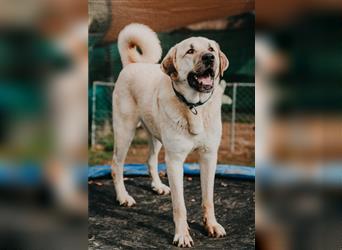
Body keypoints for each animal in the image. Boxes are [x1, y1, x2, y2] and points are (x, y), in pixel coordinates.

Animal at [112, 23, 228, 246]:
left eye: (211, 49)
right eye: (190, 51)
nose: (210, 58)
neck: (194, 107)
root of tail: (132, 65)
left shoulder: (209, 157)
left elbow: (208, 199)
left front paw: (211, 225)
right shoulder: (175, 161)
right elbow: (179, 206)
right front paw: (182, 235)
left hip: (156, 136)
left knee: (150, 160)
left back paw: (158, 186)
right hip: (124, 133)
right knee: (116, 166)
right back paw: (123, 197)